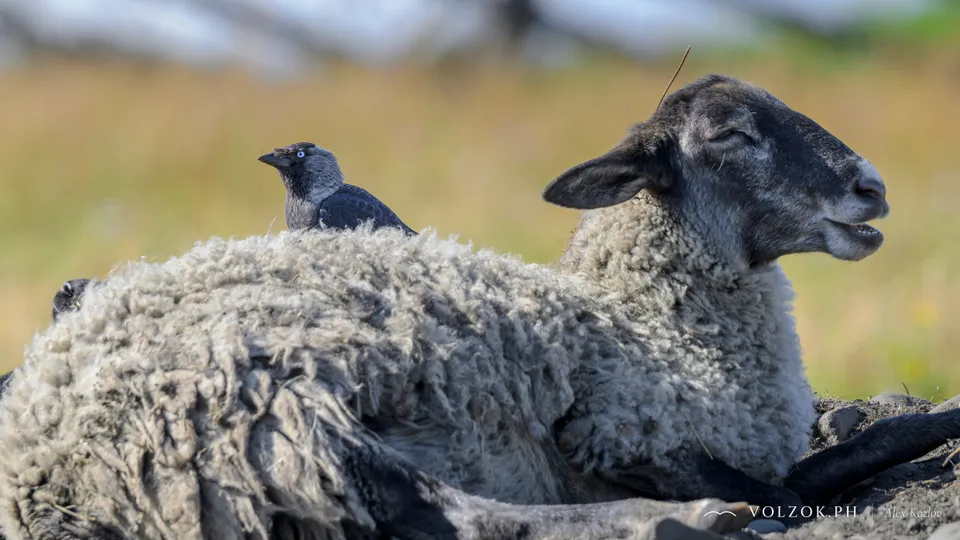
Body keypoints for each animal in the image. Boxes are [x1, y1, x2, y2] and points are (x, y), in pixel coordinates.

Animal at [0, 74, 956, 539]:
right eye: (728, 132)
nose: (871, 188)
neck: (654, 328)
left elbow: (881, 439)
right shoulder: (623, 438)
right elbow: (788, 487)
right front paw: (715, 505)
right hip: (273, 407)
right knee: (443, 510)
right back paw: (680, 524)